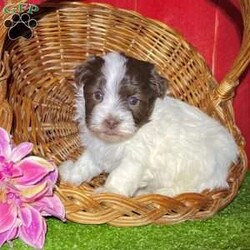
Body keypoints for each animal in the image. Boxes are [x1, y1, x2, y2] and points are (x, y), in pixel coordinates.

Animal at [59, 51, 238, 197]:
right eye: (98, 95)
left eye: (133, 100)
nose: (111, 121)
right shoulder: (98, 146)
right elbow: (86, 162)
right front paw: (70, 174)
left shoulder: (136, 157)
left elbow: (121, 174)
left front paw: (110, 192)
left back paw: (158, 193)